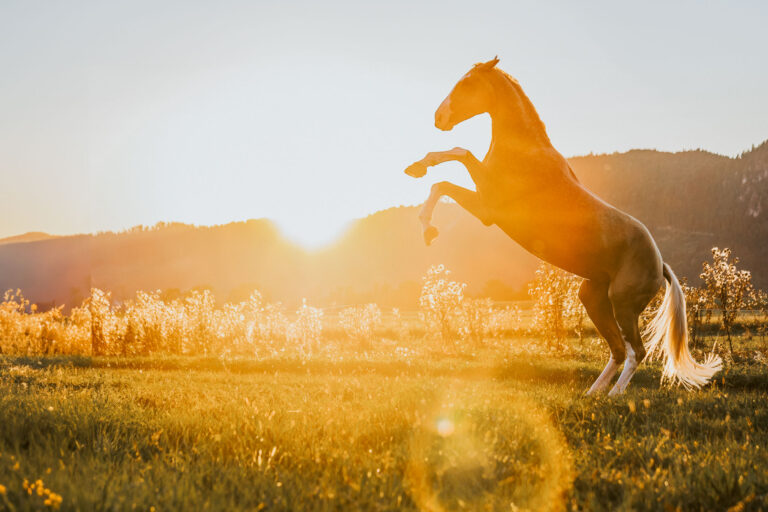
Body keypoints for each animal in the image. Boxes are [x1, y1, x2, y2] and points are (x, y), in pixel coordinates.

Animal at [404, 59, 724, 396]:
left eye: (467, 84)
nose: (438, 118)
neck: (525, 151)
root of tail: (660, 264)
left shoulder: (487, 206)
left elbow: (457, 156)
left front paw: (426, 220)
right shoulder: (483, 202)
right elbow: (442, 180)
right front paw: (420, 192)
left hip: (622, 305)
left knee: (637, 350)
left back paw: (615, 395)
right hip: (593, 299)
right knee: (617, 349)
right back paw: (592, 394)